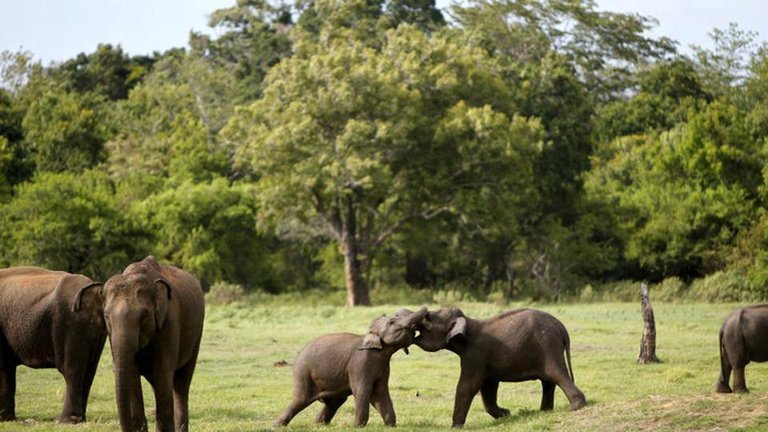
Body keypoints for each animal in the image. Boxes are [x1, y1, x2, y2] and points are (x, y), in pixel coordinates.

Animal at [0, 264, 106, 424]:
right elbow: (6, 368)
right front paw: (6, 419)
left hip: (70, 324)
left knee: (71, 370)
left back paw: (65, 421)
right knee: (89, 372)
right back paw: (80, 419)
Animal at [90, 256, 206, 432]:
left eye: (144, 316)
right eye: (106, 316)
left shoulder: (169, 323)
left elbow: (162, 372)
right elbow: (131, 373)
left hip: (197, 335)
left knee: (181, 384)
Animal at [276, 308, 428, 426]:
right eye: (391, 322)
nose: (426, 314)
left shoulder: (383, 366)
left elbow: (380, 391)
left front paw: (391, 425)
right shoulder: (360, 364)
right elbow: (363, 390)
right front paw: (358, 426)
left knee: (334, 402)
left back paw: (319, 424)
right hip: (303, 374)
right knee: (300, 400)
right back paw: (277, 425)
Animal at [414, 308, 588, 426]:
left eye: (428, 320)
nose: (413, 328)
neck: (468, 323)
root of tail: (562, 328)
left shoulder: (475, 355)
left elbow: (469, 386)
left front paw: (455, 427)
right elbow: (487, 386)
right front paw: (507, 414)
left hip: (549, 347)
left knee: (556, 374)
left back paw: (576, 406)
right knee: (548, 381)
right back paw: (544, 411)